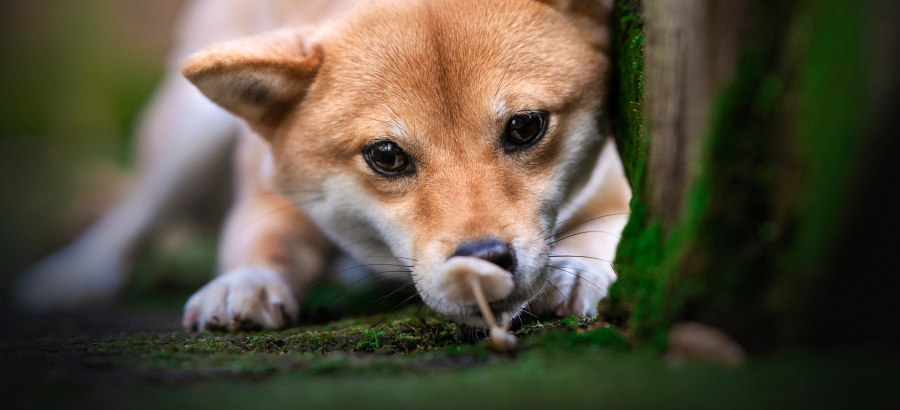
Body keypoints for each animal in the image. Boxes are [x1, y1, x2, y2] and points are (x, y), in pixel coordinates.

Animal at [15, 0, 632, 332]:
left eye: (525, 126)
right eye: (386, 155)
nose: (484, 259)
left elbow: (619, 216)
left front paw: (580, 268)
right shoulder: (269, 186)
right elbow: (261, 239)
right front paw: (245, 282)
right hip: (193, 134)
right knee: (135, 215)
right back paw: (71, 276)